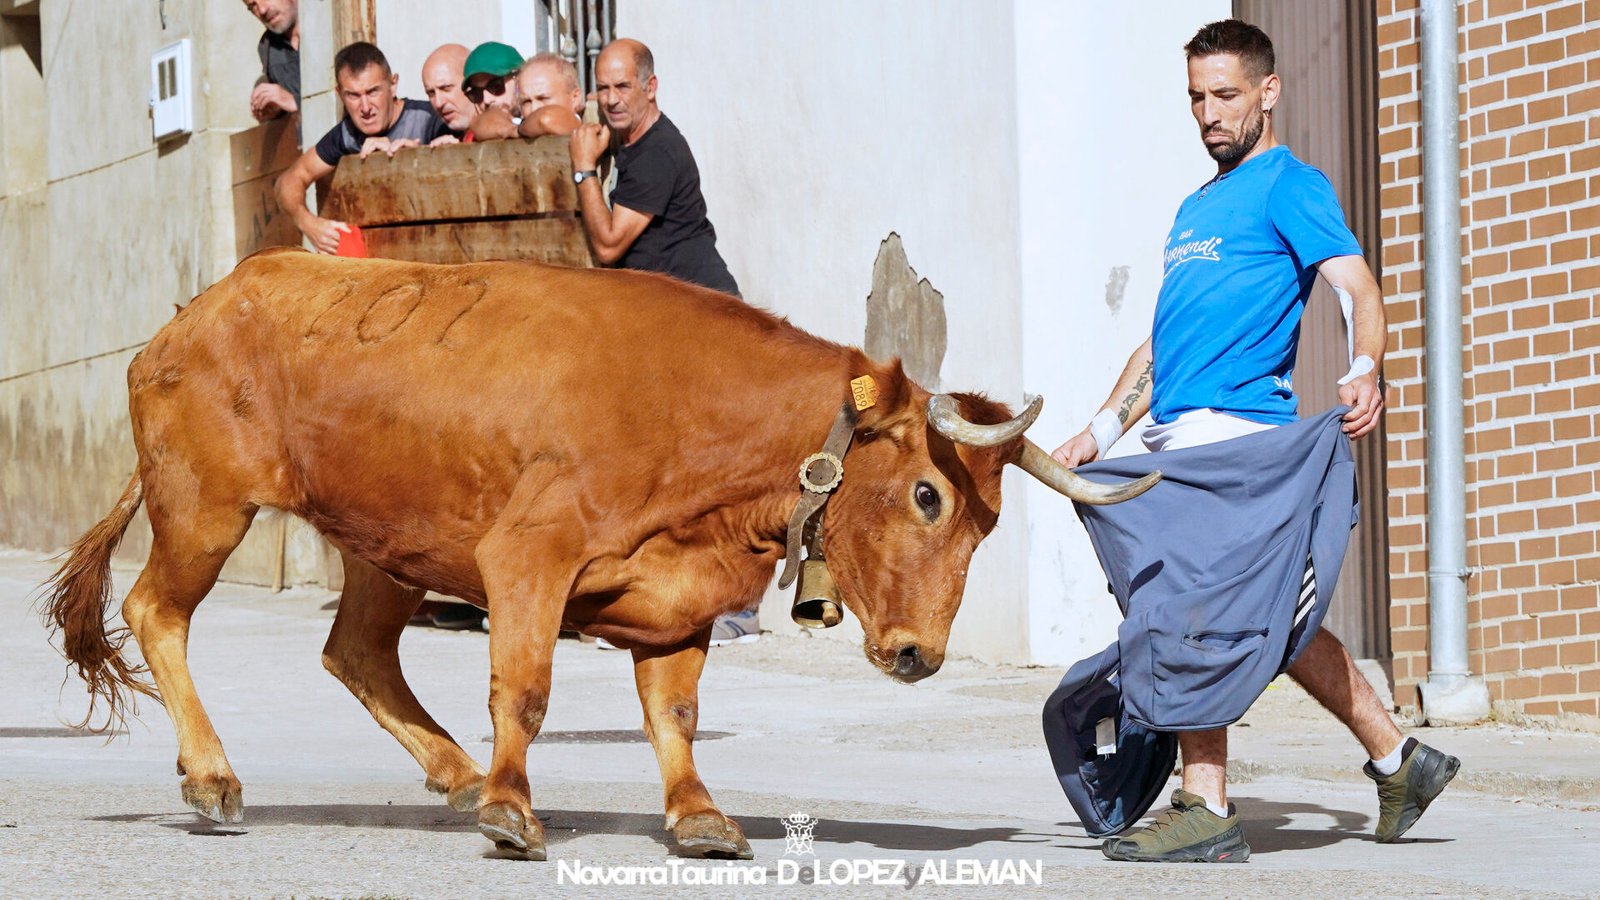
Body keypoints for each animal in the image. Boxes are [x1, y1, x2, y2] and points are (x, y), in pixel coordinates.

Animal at [43, 248, 1158, 858]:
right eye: (927, 494)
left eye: (986, 524)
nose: (920, 655)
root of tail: (196, 312)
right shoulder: (528, 558)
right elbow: (526, 687)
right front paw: (513, 811)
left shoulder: (682, 596)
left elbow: (675, 714)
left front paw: (699, 818)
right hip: (204, 507)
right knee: (156, 612)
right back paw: (214, 779)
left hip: (384, 549)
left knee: (355, 651)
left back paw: (452, 774)